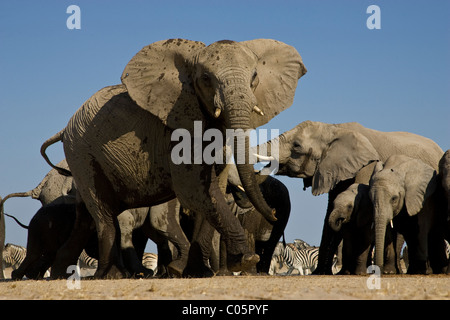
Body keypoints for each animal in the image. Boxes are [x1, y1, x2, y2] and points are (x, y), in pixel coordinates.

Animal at [41, 38, 306, 278]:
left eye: (254, 77)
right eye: (206, 79)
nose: (274, 214)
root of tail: (65, 128)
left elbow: (215, 188)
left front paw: (199, 273)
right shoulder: (176, 131)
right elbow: (195, 190)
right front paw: (244, 259)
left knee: (84, 219)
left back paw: (60, 276)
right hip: (81, 153)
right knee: (102, 212)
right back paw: (112, 276)